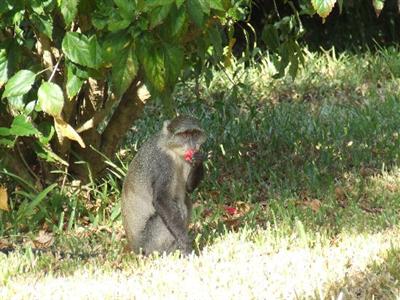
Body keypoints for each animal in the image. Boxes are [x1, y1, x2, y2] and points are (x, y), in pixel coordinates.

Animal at [122, 115, 206, 255]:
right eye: (184, 135)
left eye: (194, 134)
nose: (193, 145)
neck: (172, 150)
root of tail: (135, 249)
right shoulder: (163, 163)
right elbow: (161, 200)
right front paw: (186, 244)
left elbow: (188, 188)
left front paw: (199, 160)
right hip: (149, 241)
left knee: (186, 201)